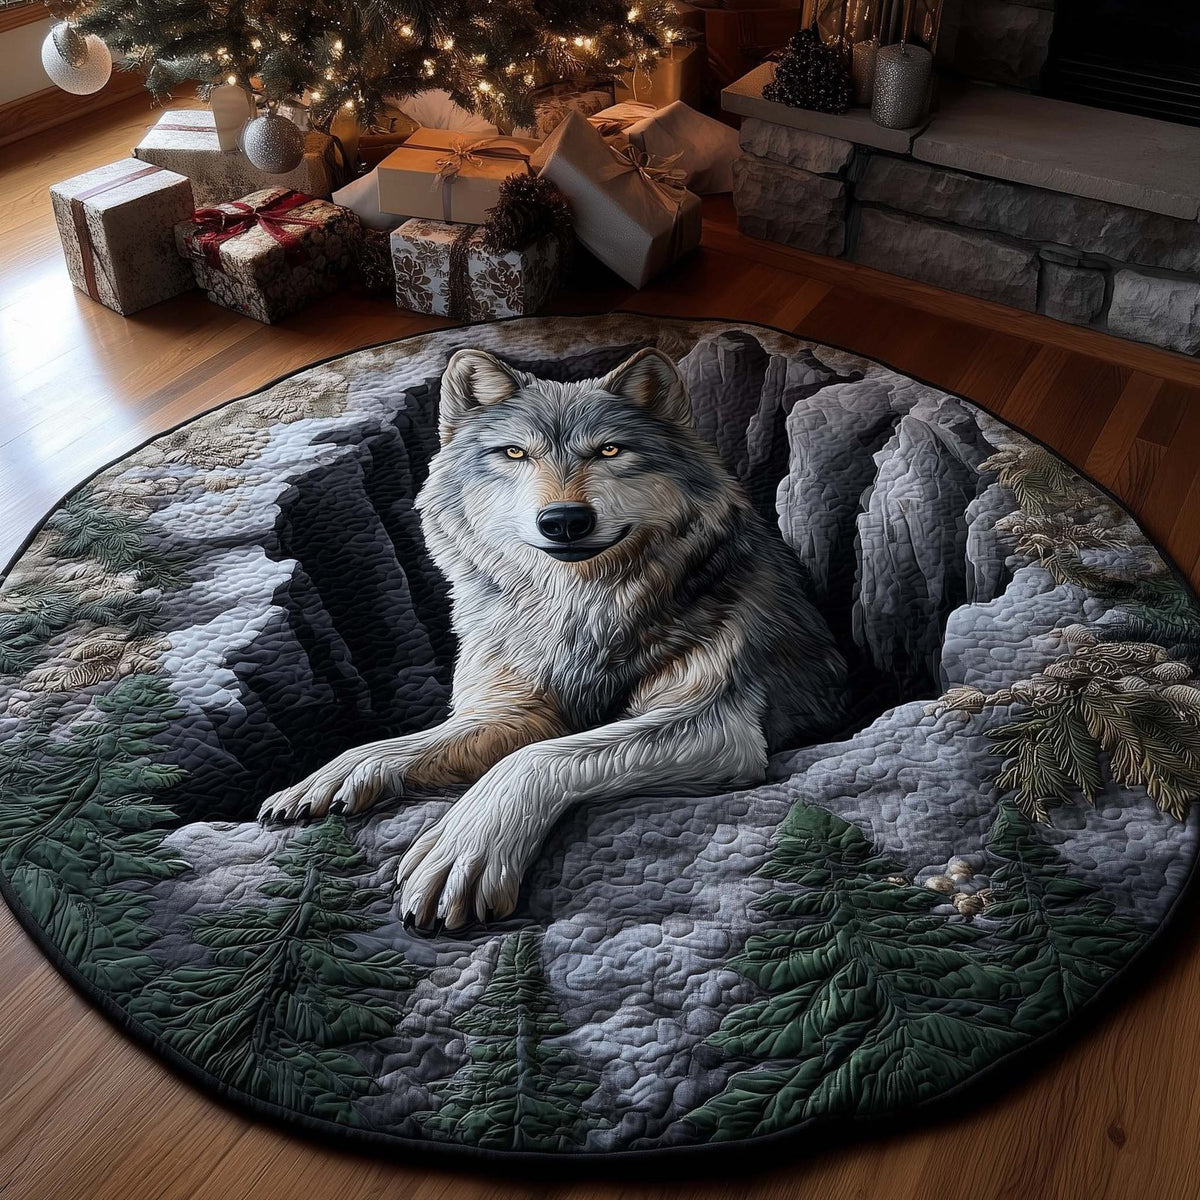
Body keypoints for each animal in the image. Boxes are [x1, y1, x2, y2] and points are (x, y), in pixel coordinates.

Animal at [260, 345, 847, 929]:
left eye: (609, 450)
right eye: (515, 452)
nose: (564, 520)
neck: (581, 611)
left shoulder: (716, 724)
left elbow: (535, 759)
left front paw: (461, 849)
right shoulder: (515, 711)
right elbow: (413, 743)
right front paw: (333, 774)